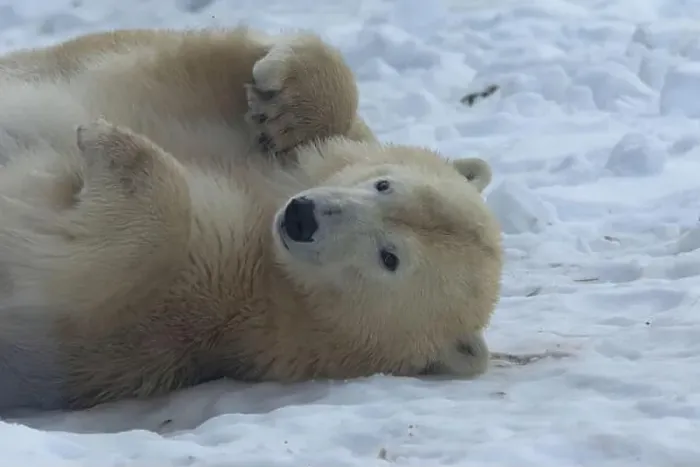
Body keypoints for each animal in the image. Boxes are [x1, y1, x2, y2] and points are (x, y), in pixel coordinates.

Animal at [0, 26, 502, 412]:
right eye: (384, 185)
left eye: (389, 257)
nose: (302, 217)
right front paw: (279, 104)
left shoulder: (217, 306)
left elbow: (97, 282)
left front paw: (108, 143)